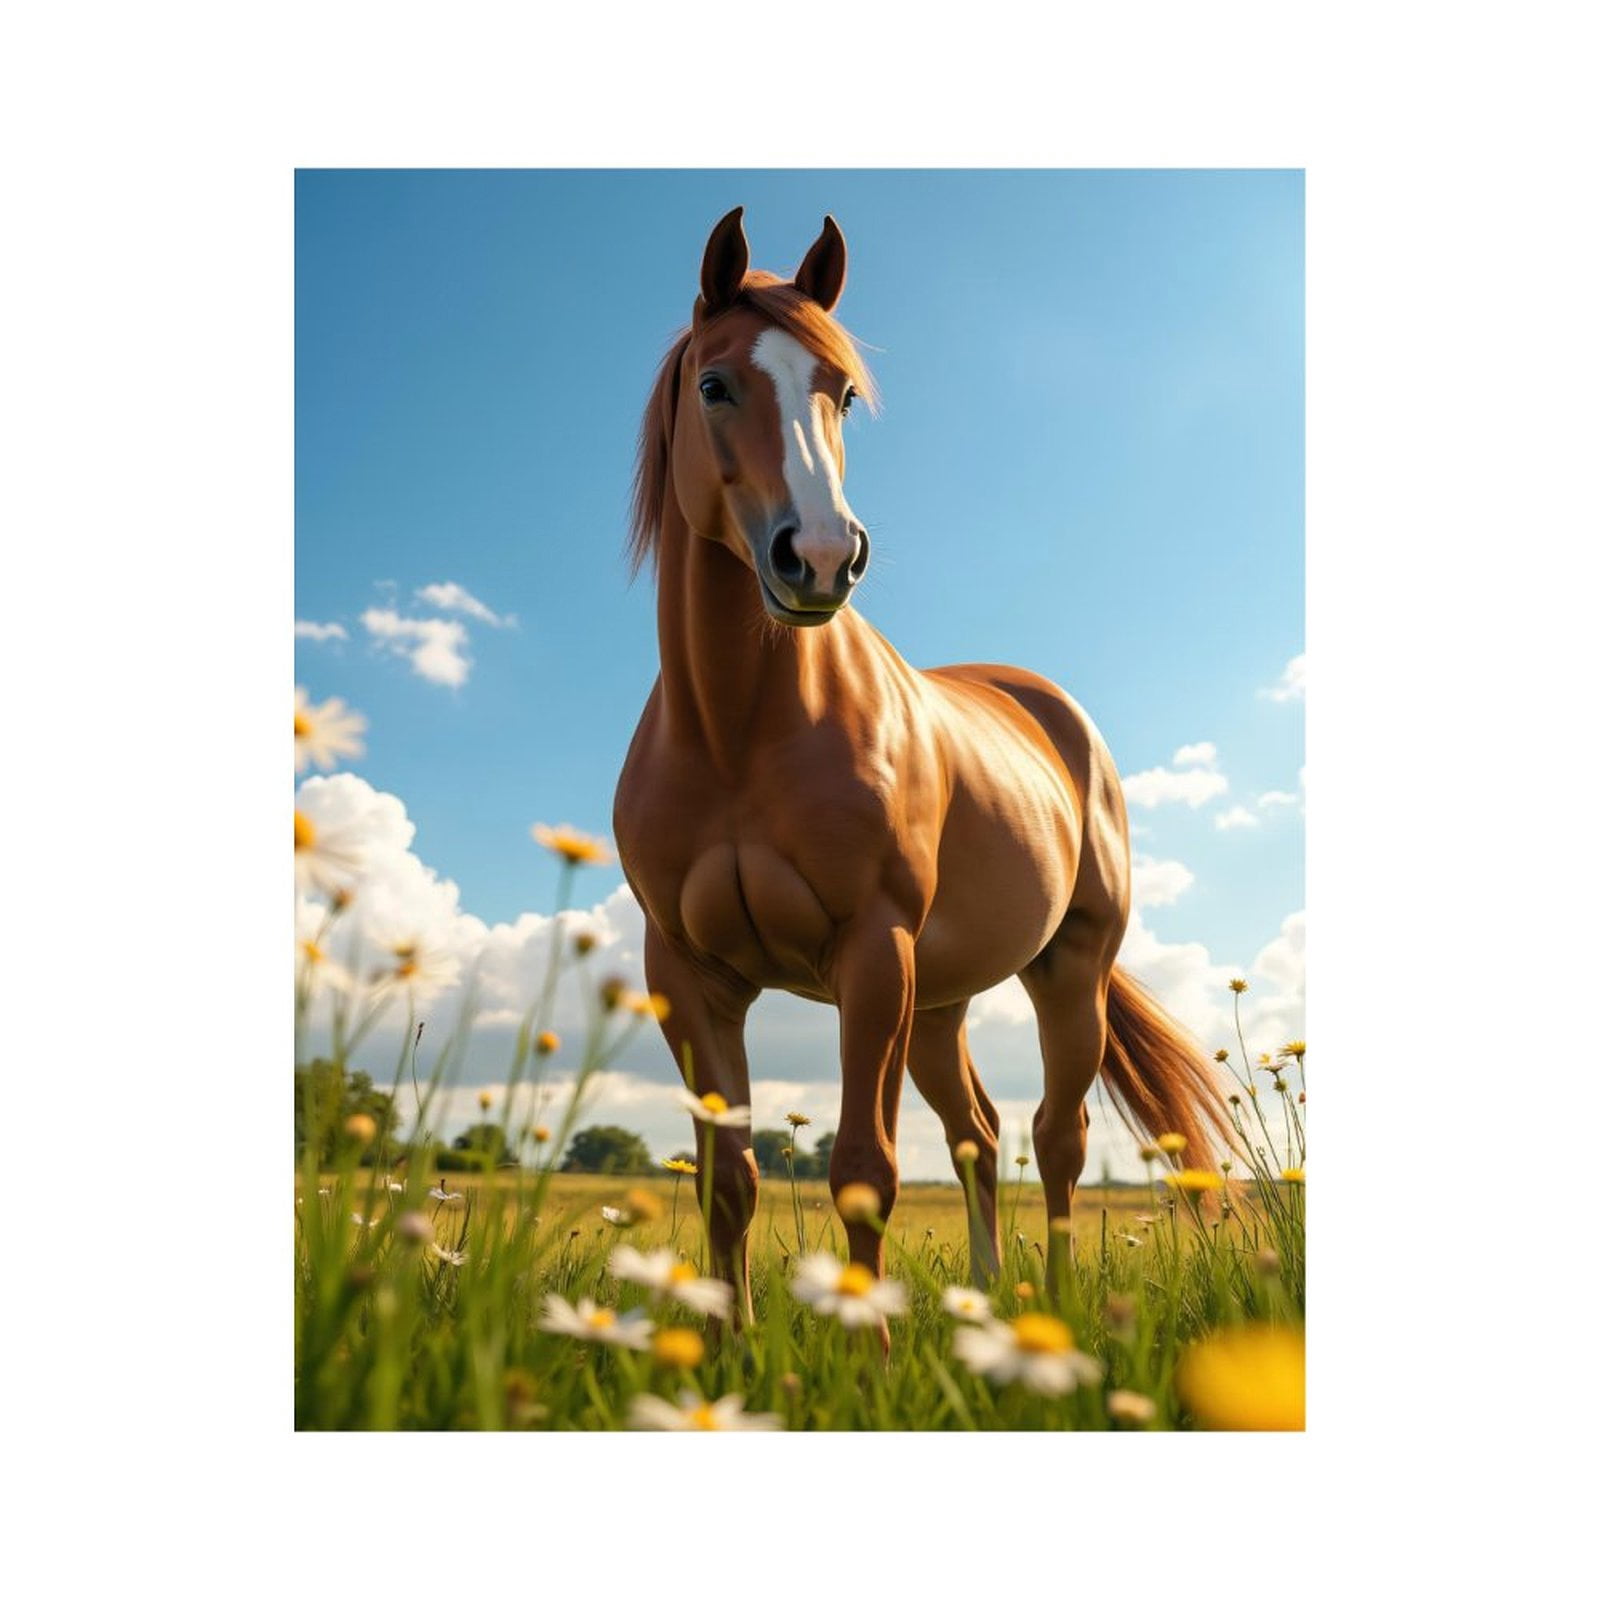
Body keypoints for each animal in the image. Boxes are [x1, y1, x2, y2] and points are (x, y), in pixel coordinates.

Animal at [613, 207, 1229, 1321]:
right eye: (715, 385)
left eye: (843, 392)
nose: (819, 557)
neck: (735, 730)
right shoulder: (689, 975)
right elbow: (732, 1180)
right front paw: (724, 1343)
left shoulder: (871, 952)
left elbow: (866, 1166)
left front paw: (868, 1341)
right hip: (939, 1002)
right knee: (977, 1133)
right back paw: (980, 1302)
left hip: (1063, 972)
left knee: (1055, 1139)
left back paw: (1050, 1309)